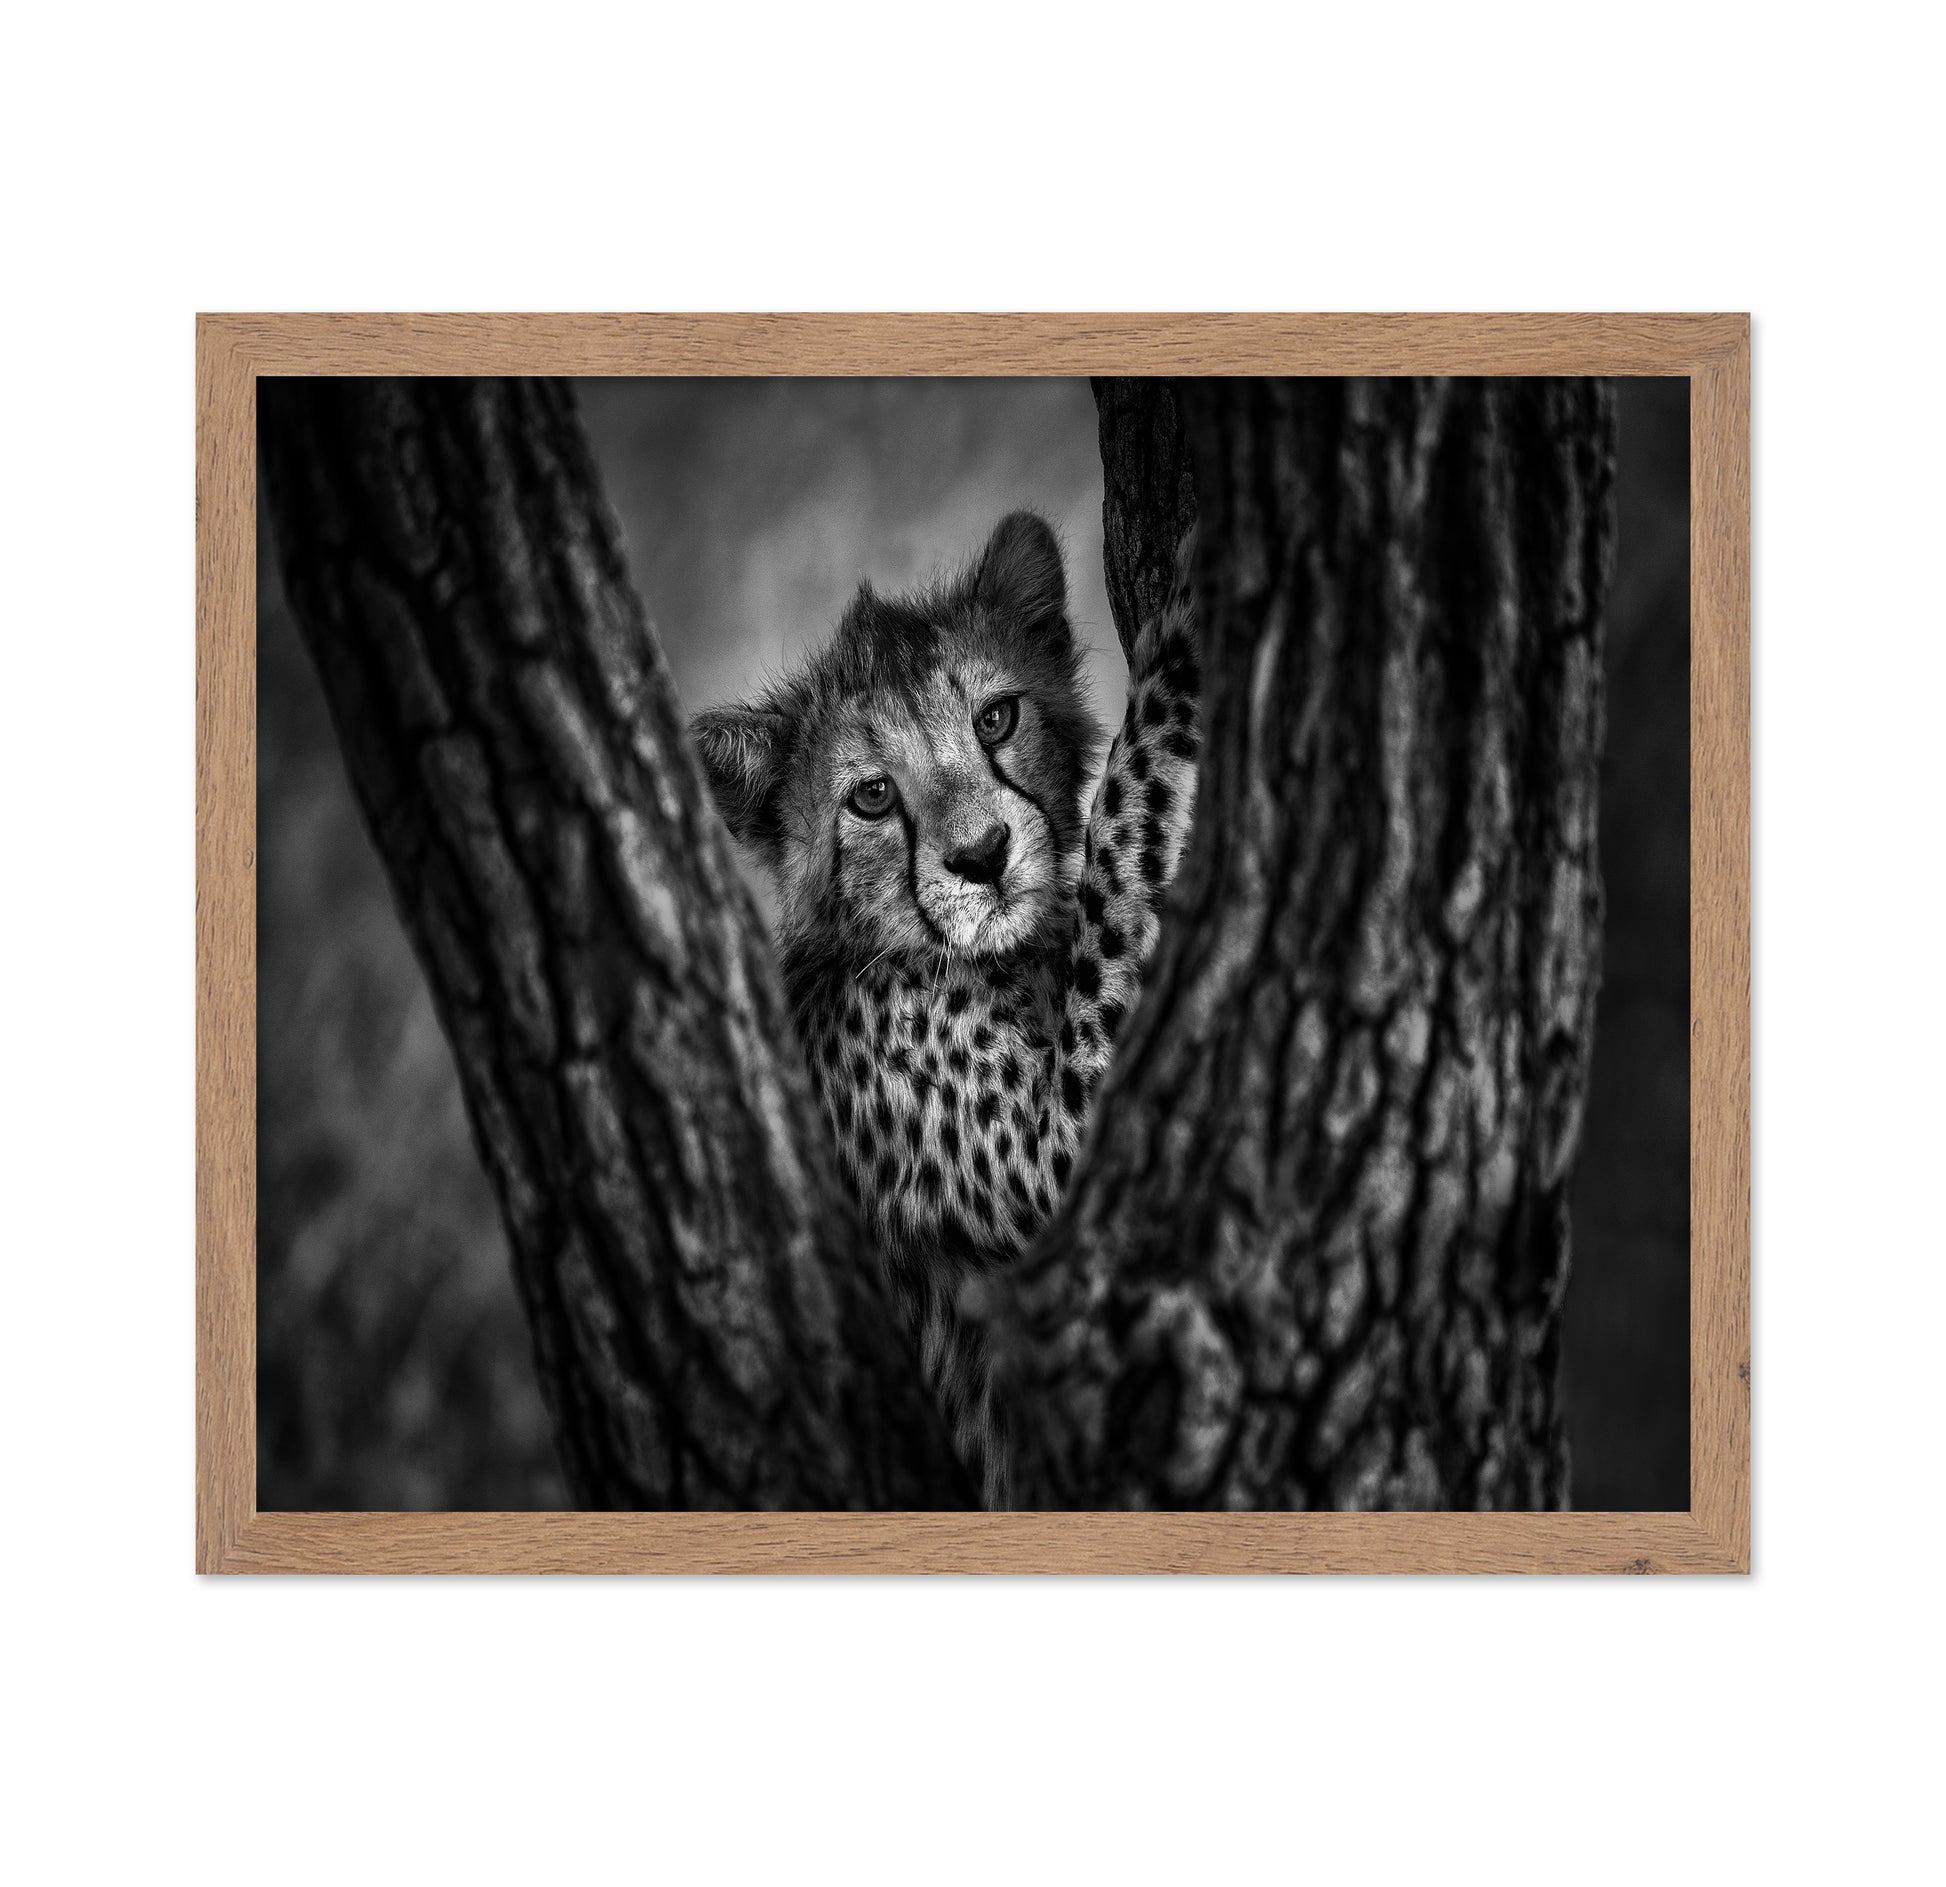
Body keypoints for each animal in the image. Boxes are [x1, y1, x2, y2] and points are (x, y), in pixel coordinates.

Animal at [691, 510, 1200, 1506]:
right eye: (872, 795)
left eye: (995, 718)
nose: (983, 854)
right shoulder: (1062, 1181)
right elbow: (1124, 826)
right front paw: (1183, 648)